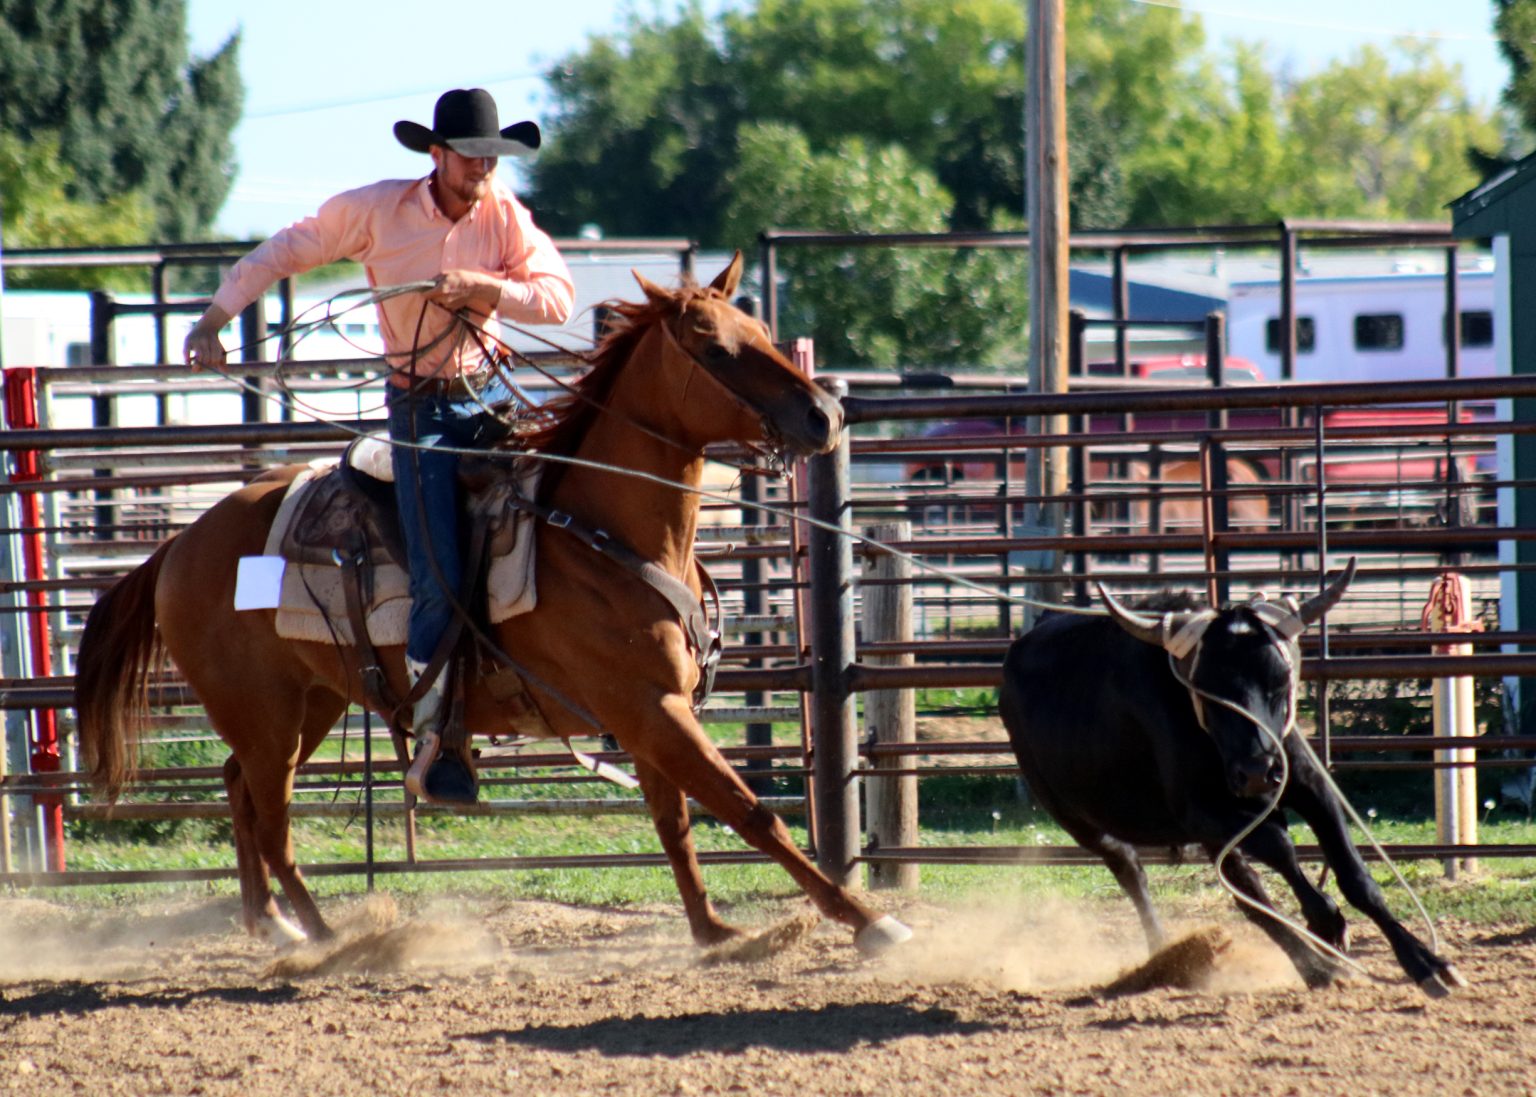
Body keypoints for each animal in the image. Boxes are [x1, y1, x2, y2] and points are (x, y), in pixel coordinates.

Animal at [73, 253, 912, 955]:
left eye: (764, 334)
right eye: (713, 350)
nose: (824, 416)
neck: (599, 533)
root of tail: (180, 545)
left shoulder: (653, 712)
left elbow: (674, 820)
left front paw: (713, 930)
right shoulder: (651, 708)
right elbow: (748, 809)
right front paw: (869, 921)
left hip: (304, 703)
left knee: (239, 790)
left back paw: (271, 923)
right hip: (264, 710)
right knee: (273, 821)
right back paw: (327, 936)